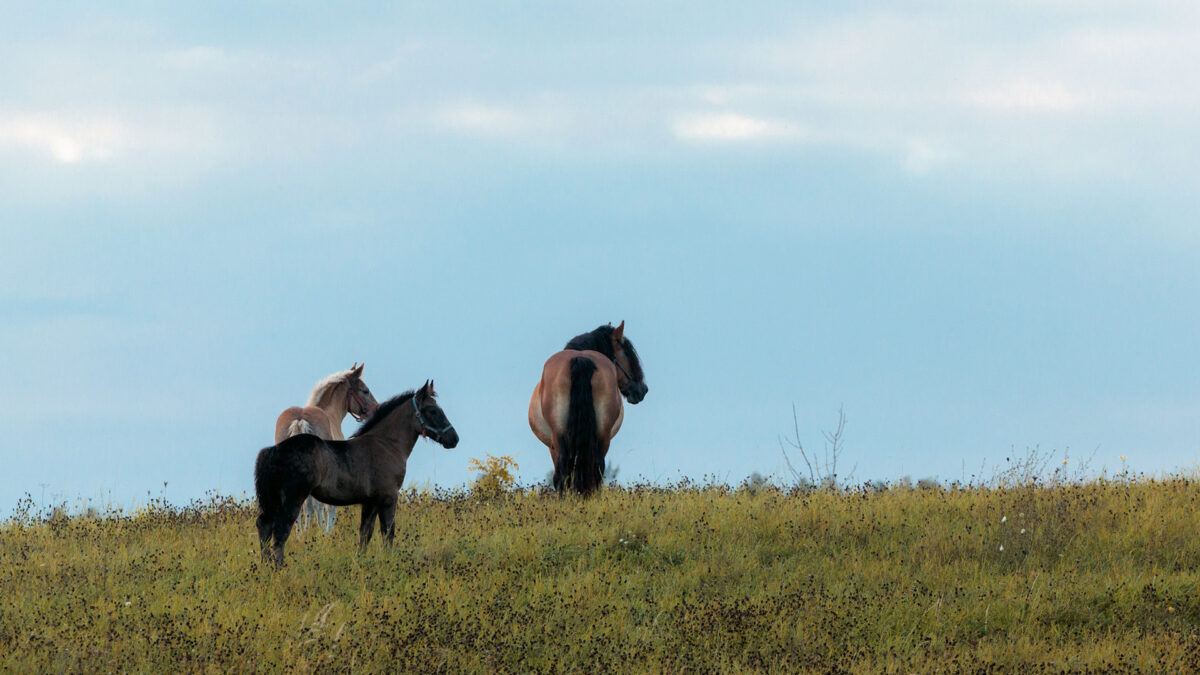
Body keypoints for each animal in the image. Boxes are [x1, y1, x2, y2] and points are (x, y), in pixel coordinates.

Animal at [255, 381, 458, 566]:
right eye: (432, 410)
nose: (454, 439)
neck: (386, 444)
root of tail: (274, 450)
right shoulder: (389, 497)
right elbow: (388, 532)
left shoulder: (370, 501)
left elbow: (365, 533)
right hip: (293, 498)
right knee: (281, 530)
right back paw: (278, 567)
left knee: (265, 525)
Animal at [273, 363, 379, 534]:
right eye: (365, 390)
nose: (376, 409)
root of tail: (300, 420)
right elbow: (328, 505)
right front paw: (327, 531)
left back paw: (299, 533)